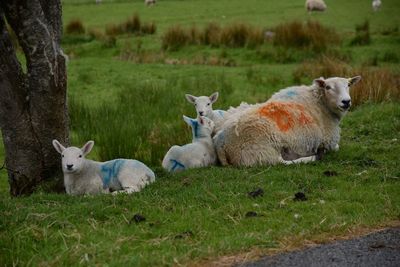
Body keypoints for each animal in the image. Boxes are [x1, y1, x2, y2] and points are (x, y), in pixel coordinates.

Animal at [214, 75, 360, 166]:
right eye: (328, 87)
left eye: (348, 85)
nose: (346, 101)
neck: (321, 103)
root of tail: (220, 143)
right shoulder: (328, 141)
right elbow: (336, 147)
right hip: (260, 150)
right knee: (280, 162)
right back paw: (312, 157)